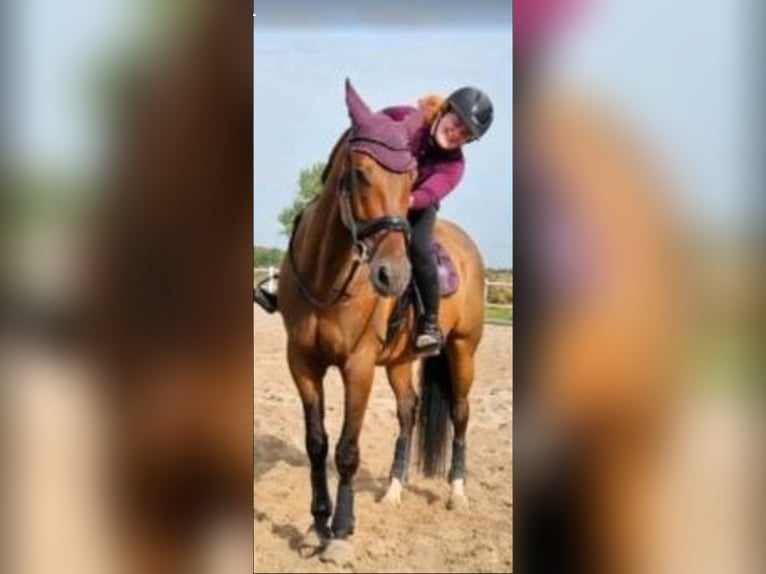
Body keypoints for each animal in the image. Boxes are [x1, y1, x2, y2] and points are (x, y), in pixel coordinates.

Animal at [277, 79, 486, 564]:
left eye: (411, 180)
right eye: (359, 173)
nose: (393, 276)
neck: (327, 274)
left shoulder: (357, 366)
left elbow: (346, 450)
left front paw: (340, 532)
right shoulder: (302, 363)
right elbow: (317, 444)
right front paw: (316, 524)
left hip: (463, 349)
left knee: (461, 412)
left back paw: (457, 491)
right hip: (399, 361)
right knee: (408, 410)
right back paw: (393, 487)